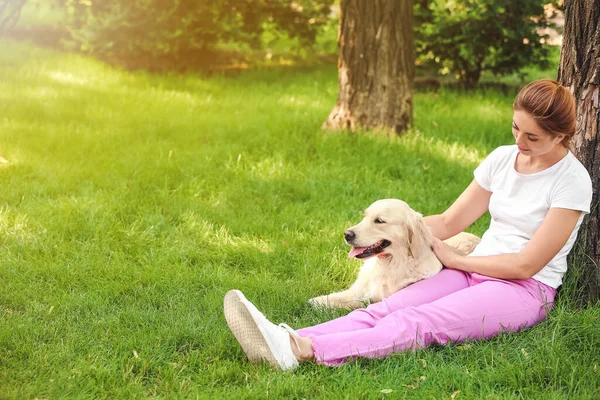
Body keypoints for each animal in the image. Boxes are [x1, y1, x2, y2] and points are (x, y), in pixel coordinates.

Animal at [312, 199, 480, 310]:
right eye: (364, 216)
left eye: (379, 221)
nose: (347, 234)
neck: (390, 264)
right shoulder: (358, 291)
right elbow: (335, 297)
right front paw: (317, 301)